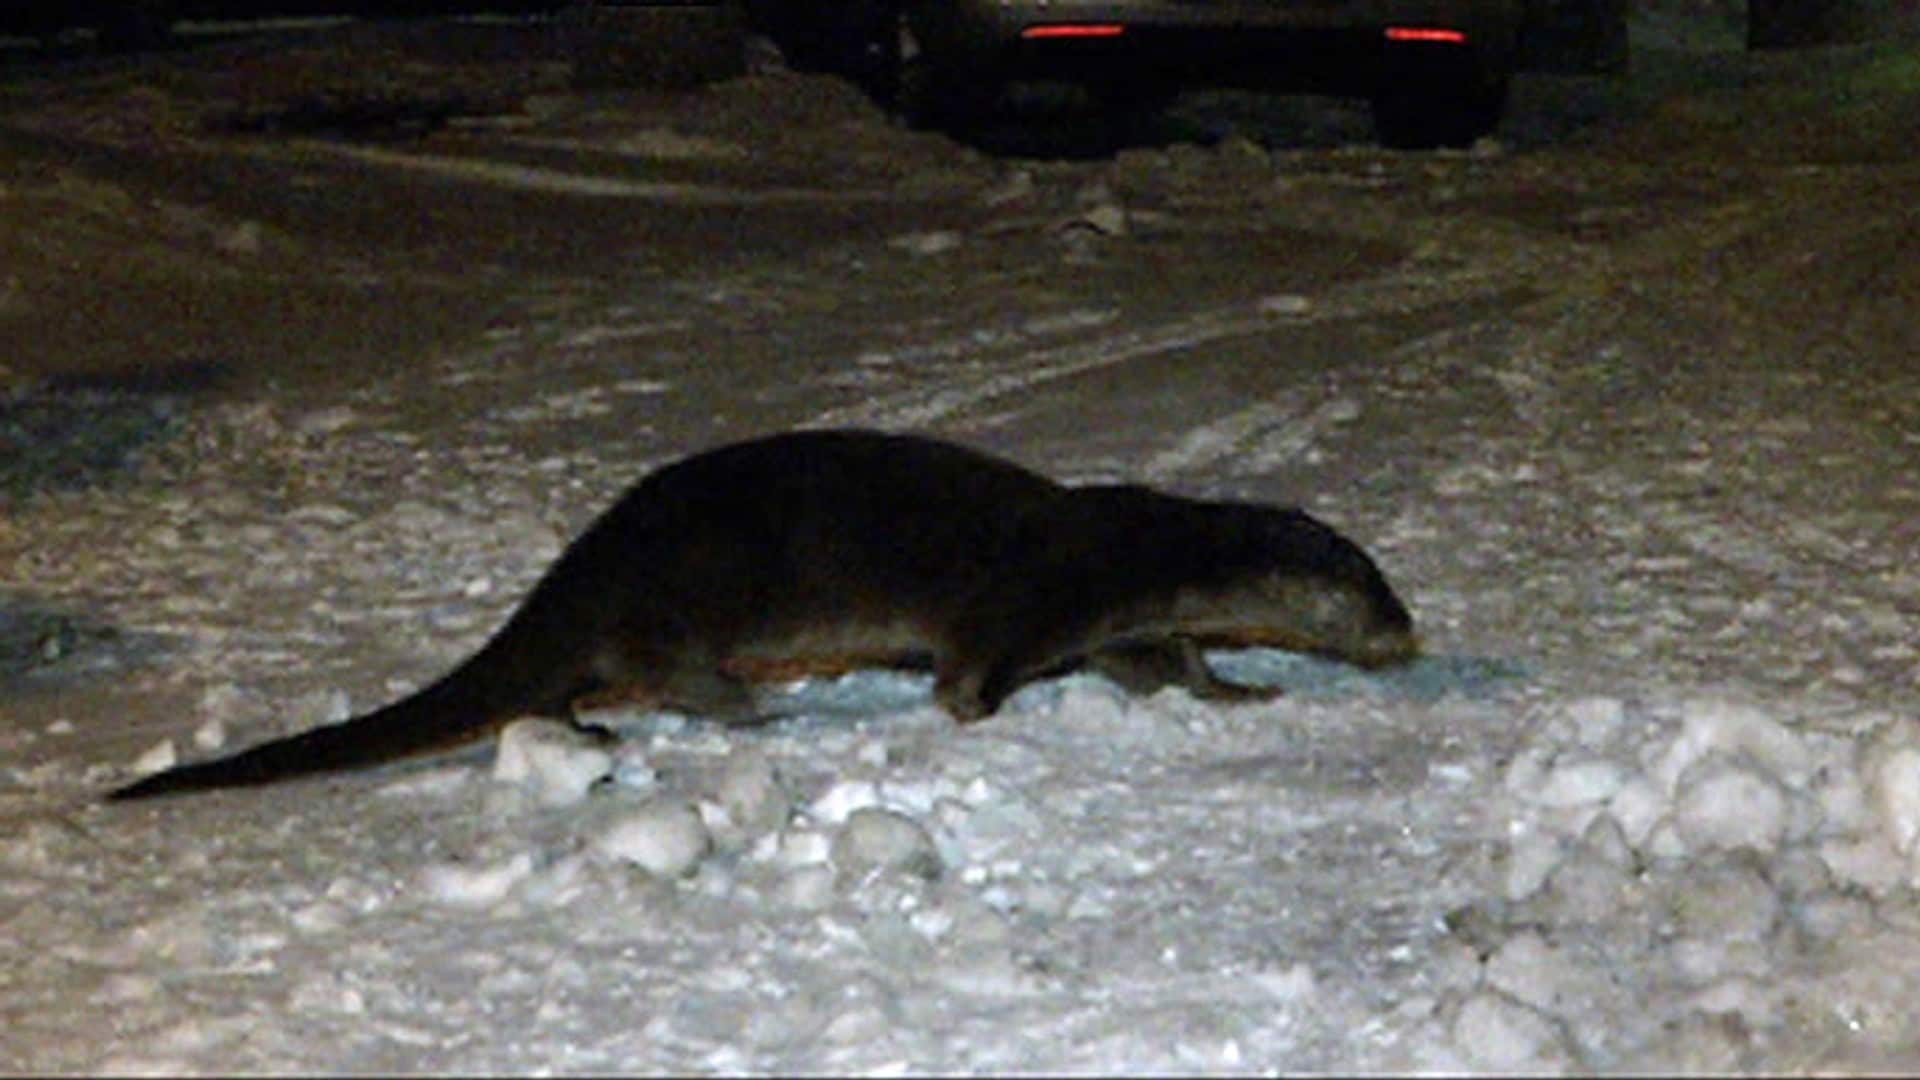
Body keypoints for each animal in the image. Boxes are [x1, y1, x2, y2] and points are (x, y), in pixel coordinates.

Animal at [108, 428, 1415, 800]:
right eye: (1375, 590)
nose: (1411, 633)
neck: (1149, 545)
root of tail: (579, 560)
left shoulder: (1117, 617)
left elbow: (1168, 660)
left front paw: (1236, 686)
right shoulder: (1045, 595)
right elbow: (974, 670)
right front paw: (973, 715)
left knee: (567, 684)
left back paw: (587, 731)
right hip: (684, 593)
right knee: (647, 658)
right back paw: (740, 707)